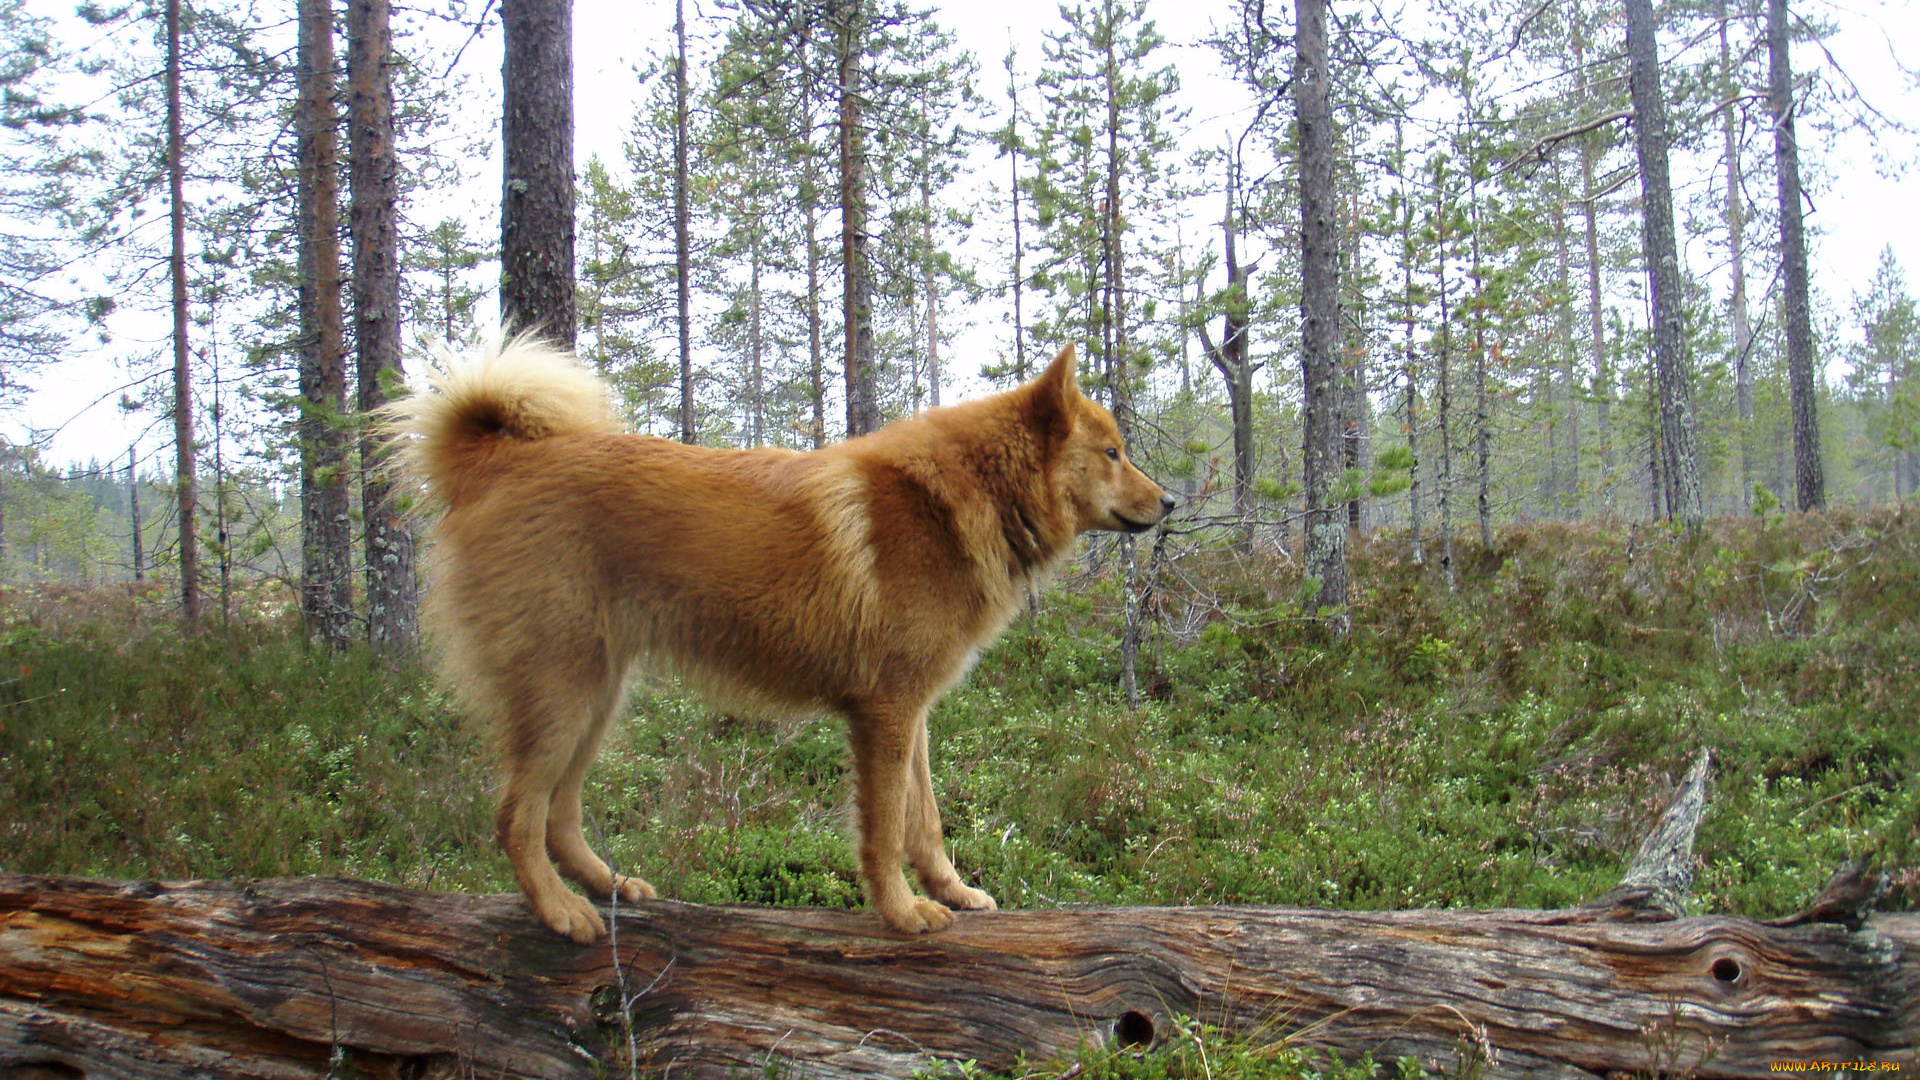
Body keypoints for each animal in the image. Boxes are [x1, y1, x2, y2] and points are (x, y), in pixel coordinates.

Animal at [389, 340, 1167, 937]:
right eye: (1113, 452)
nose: (1170, 501)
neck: (964, 497)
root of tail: (495, 460)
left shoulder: (911, 710)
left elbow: (926, 821)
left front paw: (951, 891)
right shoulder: (884, 713)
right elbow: (885, 829)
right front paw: (901, 912)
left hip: (596, 699)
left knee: (559, 815)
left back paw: (609, 887)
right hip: (562, 694)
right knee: (516, 817)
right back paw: (559, 911)